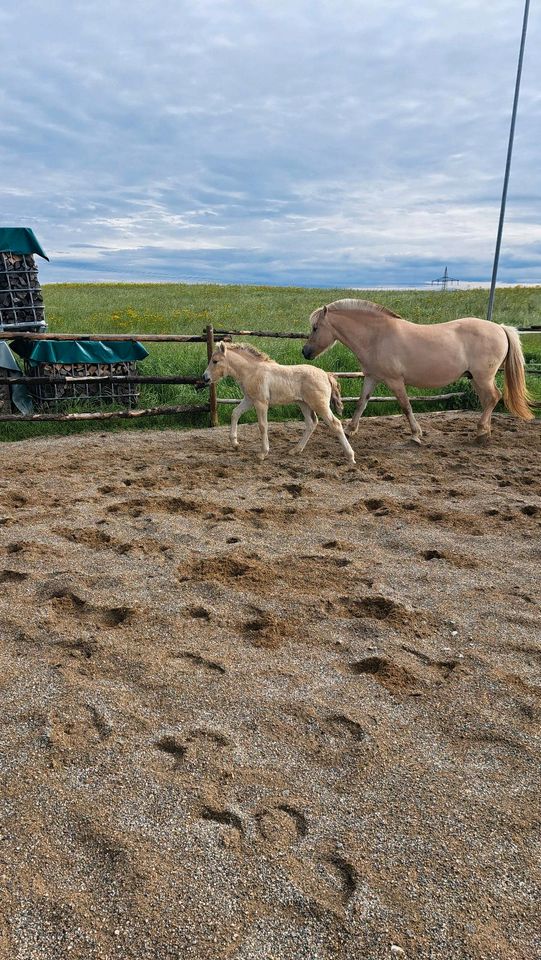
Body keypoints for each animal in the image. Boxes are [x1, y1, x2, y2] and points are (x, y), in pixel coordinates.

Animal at [199, 342, 354, 464]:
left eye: (215, 361)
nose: (205, 378)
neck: (252, 371)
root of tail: (326, 375)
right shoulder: (249, 400)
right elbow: (235, 413)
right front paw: (235, 444)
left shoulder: (261, 403)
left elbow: (262, 426)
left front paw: (262, 453)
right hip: (303, 404)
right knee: (311, 423)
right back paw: (295, 450)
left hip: (319, 405)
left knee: (335, 424)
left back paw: (350, 457)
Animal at [302, 298, 532, 444]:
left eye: (315, 328)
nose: (305, 352)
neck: (377, 336)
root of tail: (500, 327)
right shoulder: (372, 378)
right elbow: (361, 404)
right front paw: (350, 430)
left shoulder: (395, 381)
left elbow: (406, 407)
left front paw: (415, 435)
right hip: (475, 378)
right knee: (488, 400)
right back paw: (484, 431)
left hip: (483, 377)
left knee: (493, 397)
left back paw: (482, 433)